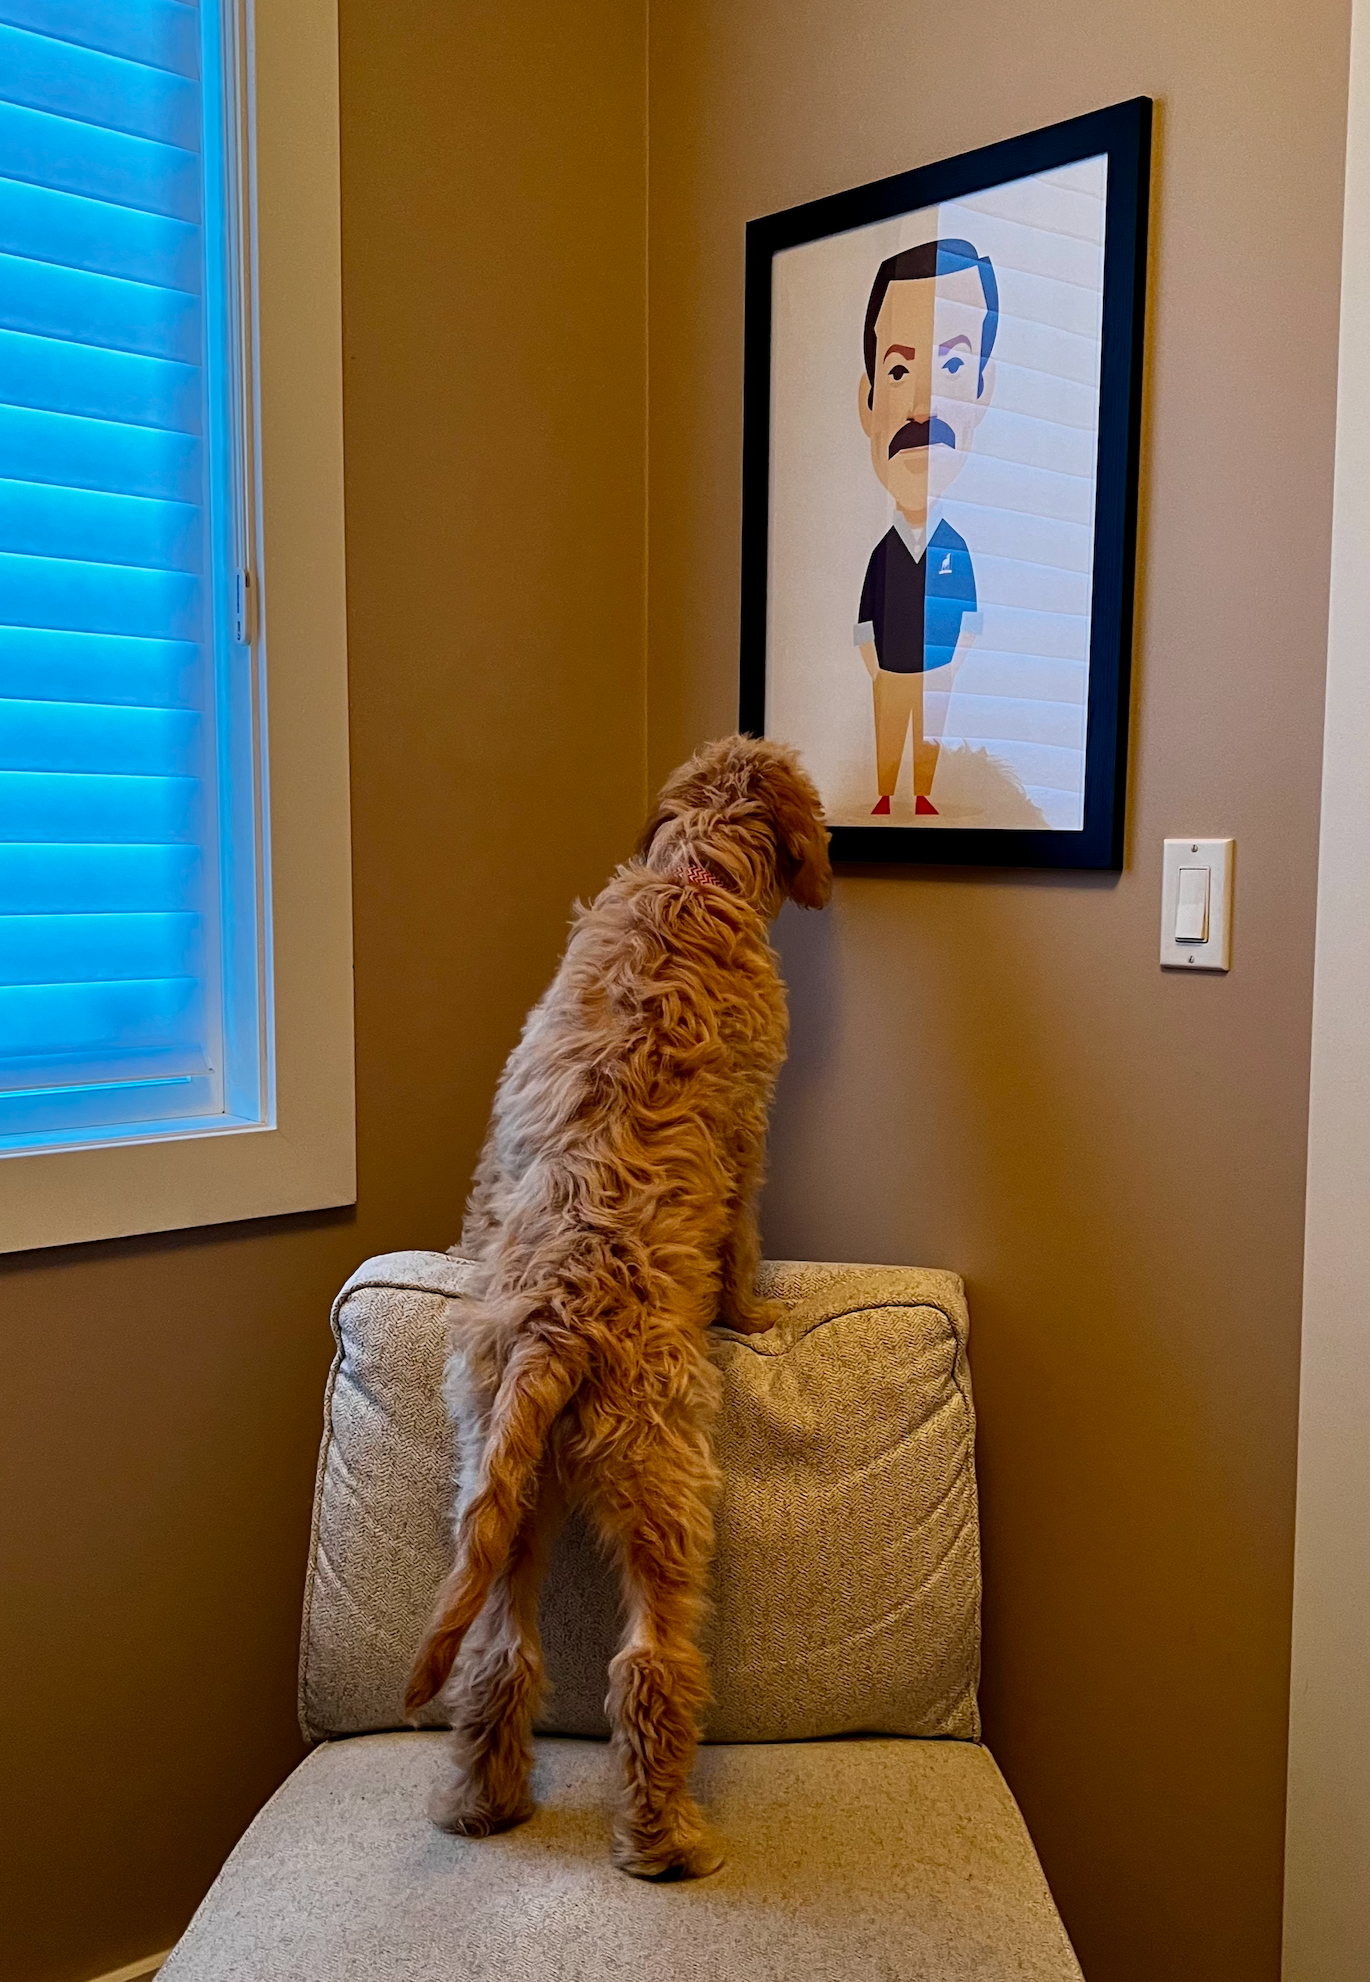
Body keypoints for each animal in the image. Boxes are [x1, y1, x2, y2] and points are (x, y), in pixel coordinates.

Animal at [404, 737, 836, 1878]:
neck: (693, 876)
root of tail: (553, 1331)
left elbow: (481, 1190)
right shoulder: (748, 1129)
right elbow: (740, 1240)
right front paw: (755, 1317)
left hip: (503, 1494)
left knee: (499, 1657)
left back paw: (482, 1805)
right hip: (663, 1482)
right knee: (648, 1667)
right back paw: (666, 1841)